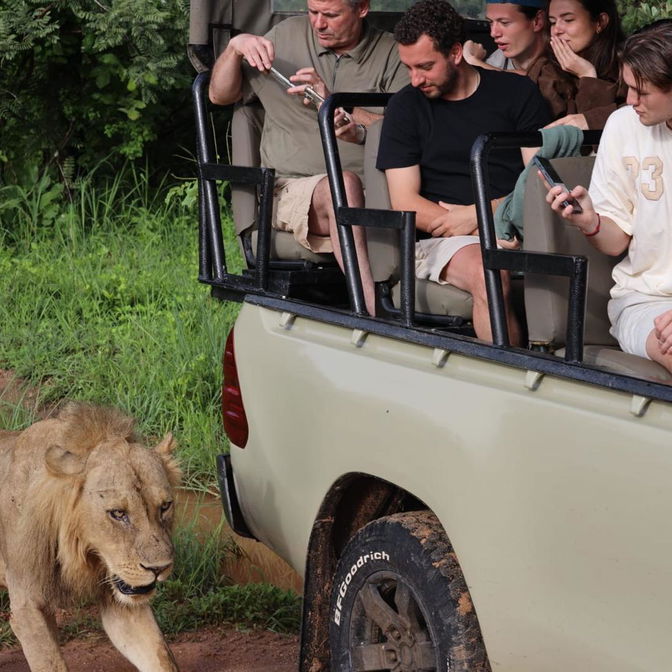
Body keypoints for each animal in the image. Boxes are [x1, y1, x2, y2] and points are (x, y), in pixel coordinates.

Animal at [0, 402, 182, 672]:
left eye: (165, 506)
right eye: (118, 513)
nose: (159, 568)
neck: (81, 551)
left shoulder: (121, 600)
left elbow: (159, 655)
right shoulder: (28, 605)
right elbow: (51, 663)